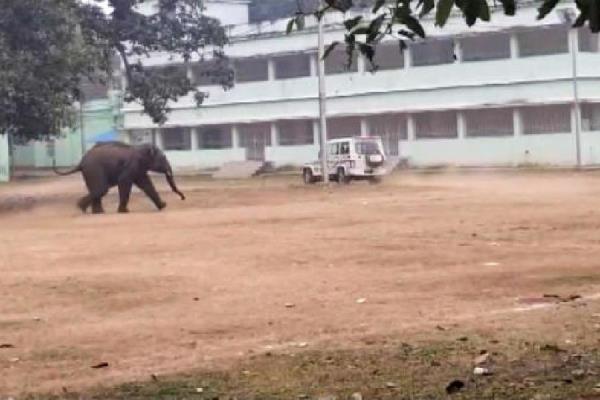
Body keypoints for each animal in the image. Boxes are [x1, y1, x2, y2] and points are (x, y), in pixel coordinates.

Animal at [53, 141, 185, 214]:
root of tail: (81, 162)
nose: (183, 198)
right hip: (94, 170)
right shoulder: (131, 165)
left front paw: (163, 206)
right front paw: (124, 211)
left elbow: (146, 184)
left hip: (90, 172)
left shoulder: (139, 169)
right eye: (163, 158)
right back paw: (81, 207)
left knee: (98, 190)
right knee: (101, 189)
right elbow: (124, 182)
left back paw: (97, 212)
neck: (139, 148)